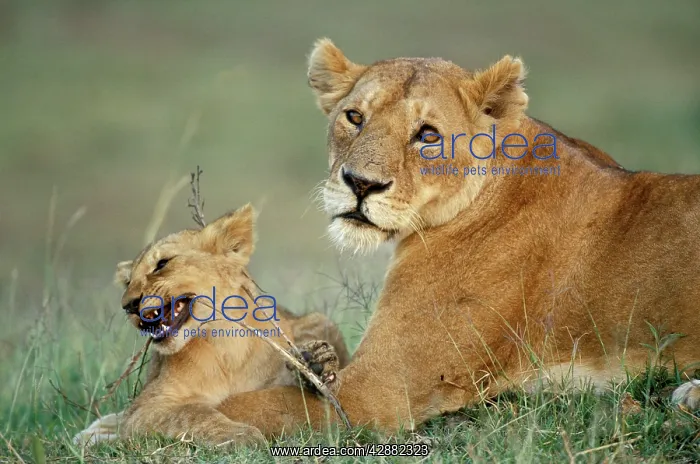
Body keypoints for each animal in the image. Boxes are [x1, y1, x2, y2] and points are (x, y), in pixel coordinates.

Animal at [73, 204, 349, 447]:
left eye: (162, 264)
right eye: (128, 281)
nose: (128, 305)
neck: (224, 344)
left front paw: (316, 366)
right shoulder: (147, 406)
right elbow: (191, 413)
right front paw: (242, 436)